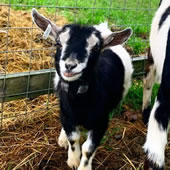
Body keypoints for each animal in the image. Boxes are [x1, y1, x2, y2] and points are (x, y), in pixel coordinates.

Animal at [31, 8, 133, 170]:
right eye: (58, 43)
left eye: (96, 47)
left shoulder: (101, 122)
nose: (70, 65)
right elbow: (73, 137)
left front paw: (84, 166)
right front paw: (73, 160)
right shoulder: (67, 112)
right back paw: (63, 139)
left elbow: (88, 149)